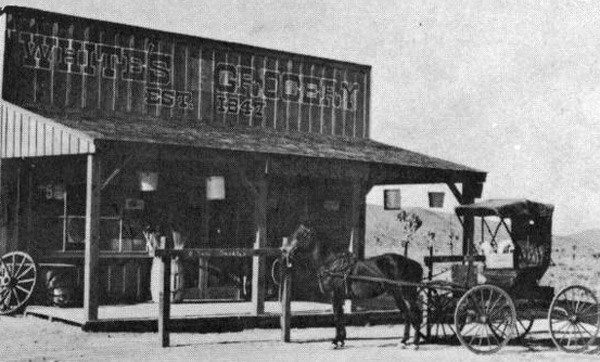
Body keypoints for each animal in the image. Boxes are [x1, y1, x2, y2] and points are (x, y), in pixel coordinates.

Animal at [284, 223, 424, 348]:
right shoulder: (339, 297)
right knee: (411, 314)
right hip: (402, 295)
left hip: (403, 294)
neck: (331, 264)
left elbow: (337, 317)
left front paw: (336, 341)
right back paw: (409, 341)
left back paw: (411, 342)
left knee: (413, 314)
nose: (285, 251)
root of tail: (414, 263)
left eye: (301, 235)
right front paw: (341, 339)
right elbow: (340, 317)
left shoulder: (335, 296)